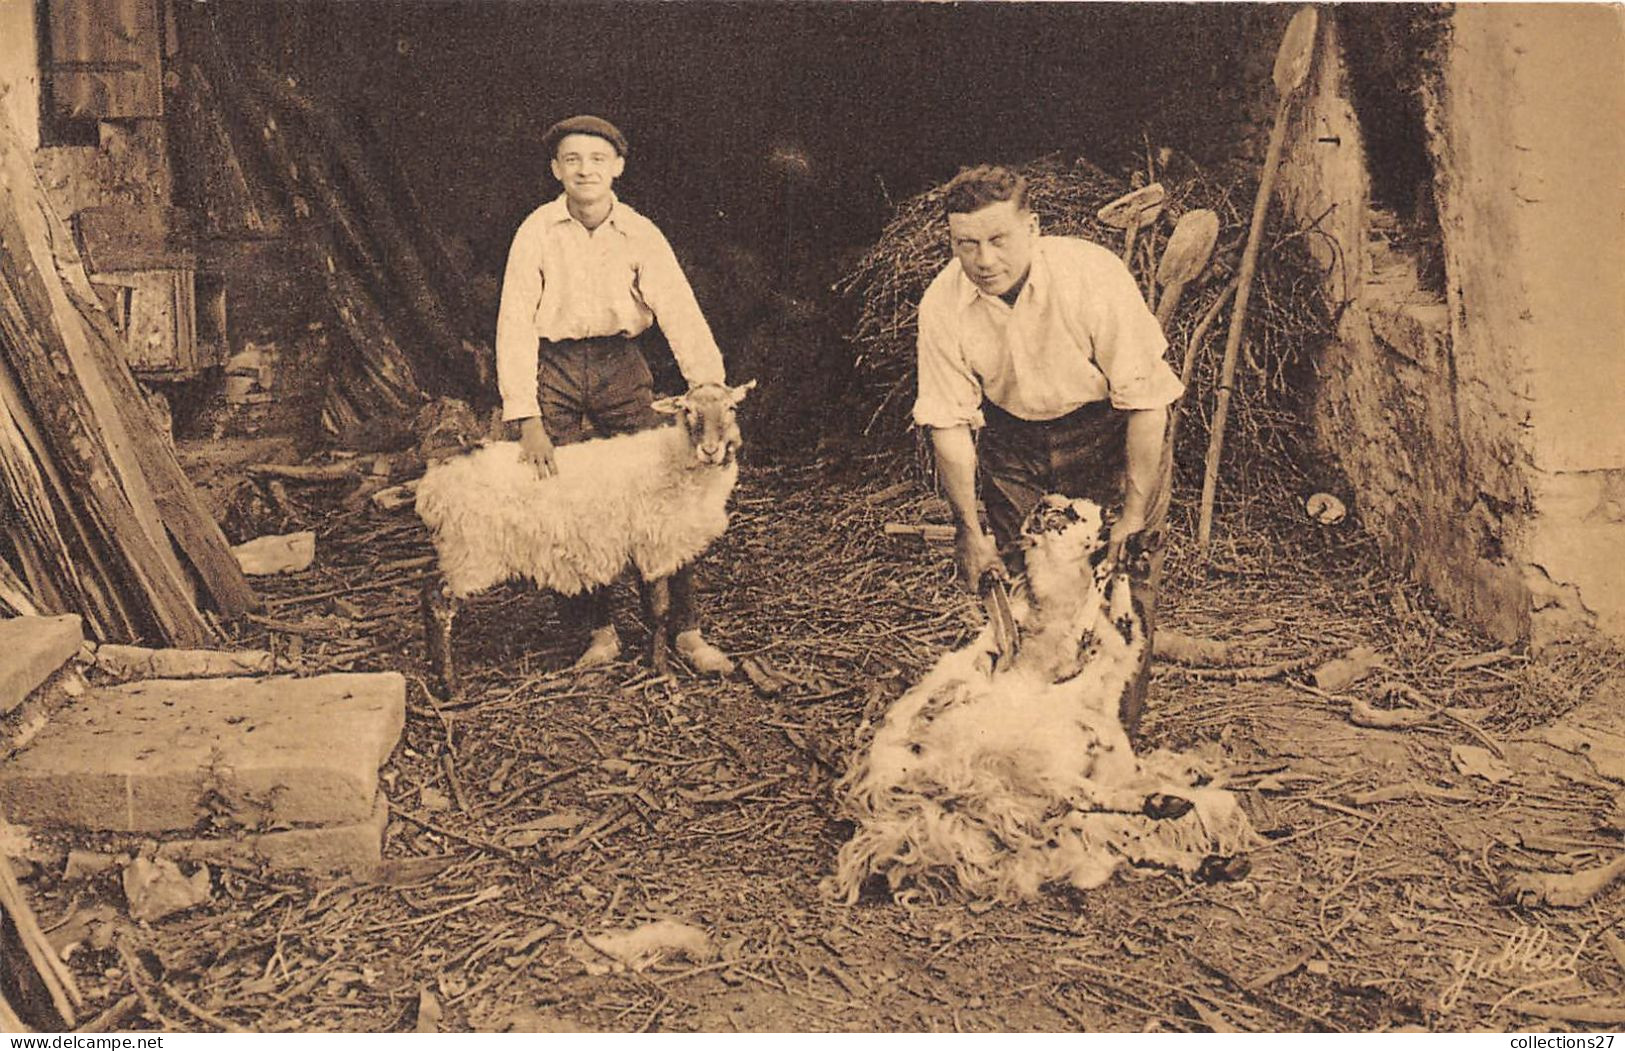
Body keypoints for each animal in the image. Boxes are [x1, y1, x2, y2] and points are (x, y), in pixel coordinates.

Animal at [412, 380, 754, 698]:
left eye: (731, 408)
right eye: (687, 410)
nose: (710, 450)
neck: (675, 459)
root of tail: (436, 477)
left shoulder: (665, 544)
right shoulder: (654, 546)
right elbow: (659, 611)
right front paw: (662, 672)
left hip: (458, 548)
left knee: (428, 590)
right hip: (470, 551)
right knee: (437, 599)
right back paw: (450, 685)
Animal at [825, 497, 1254, 903]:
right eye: (1066, 514)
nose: (1113, 515)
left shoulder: (1118, 656)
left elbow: (1123, 619)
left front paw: (1125, 555)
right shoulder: (1071, 665)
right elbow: (1088, 623)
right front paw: (1108, 567)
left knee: (1108, 833)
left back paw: (1209, 856)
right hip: (1016, 769)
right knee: (1081, 798)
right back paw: (1163, 805)